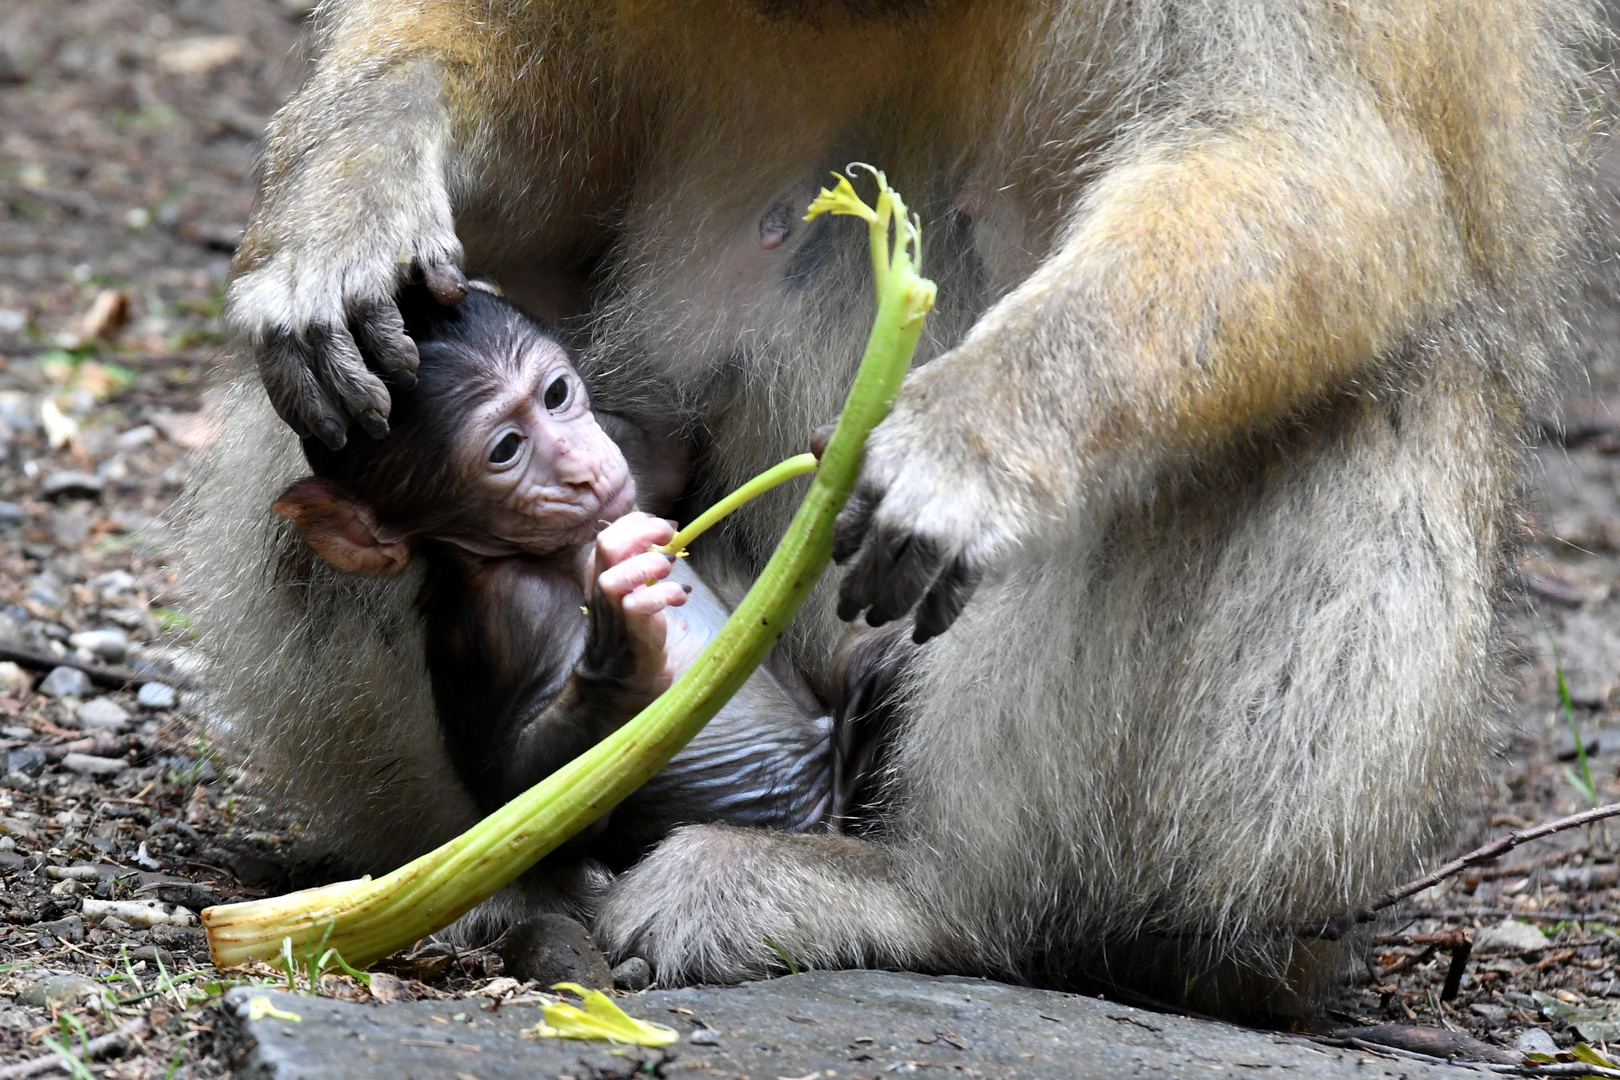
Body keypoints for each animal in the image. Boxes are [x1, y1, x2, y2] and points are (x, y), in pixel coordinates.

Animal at [275, 284, 835, 867]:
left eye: (557, 394)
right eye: (506, 449)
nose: (584, 468)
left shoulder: (631, 462)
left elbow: (669, 456)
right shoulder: (503, 617)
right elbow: (522, 803)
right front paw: (620, 654)